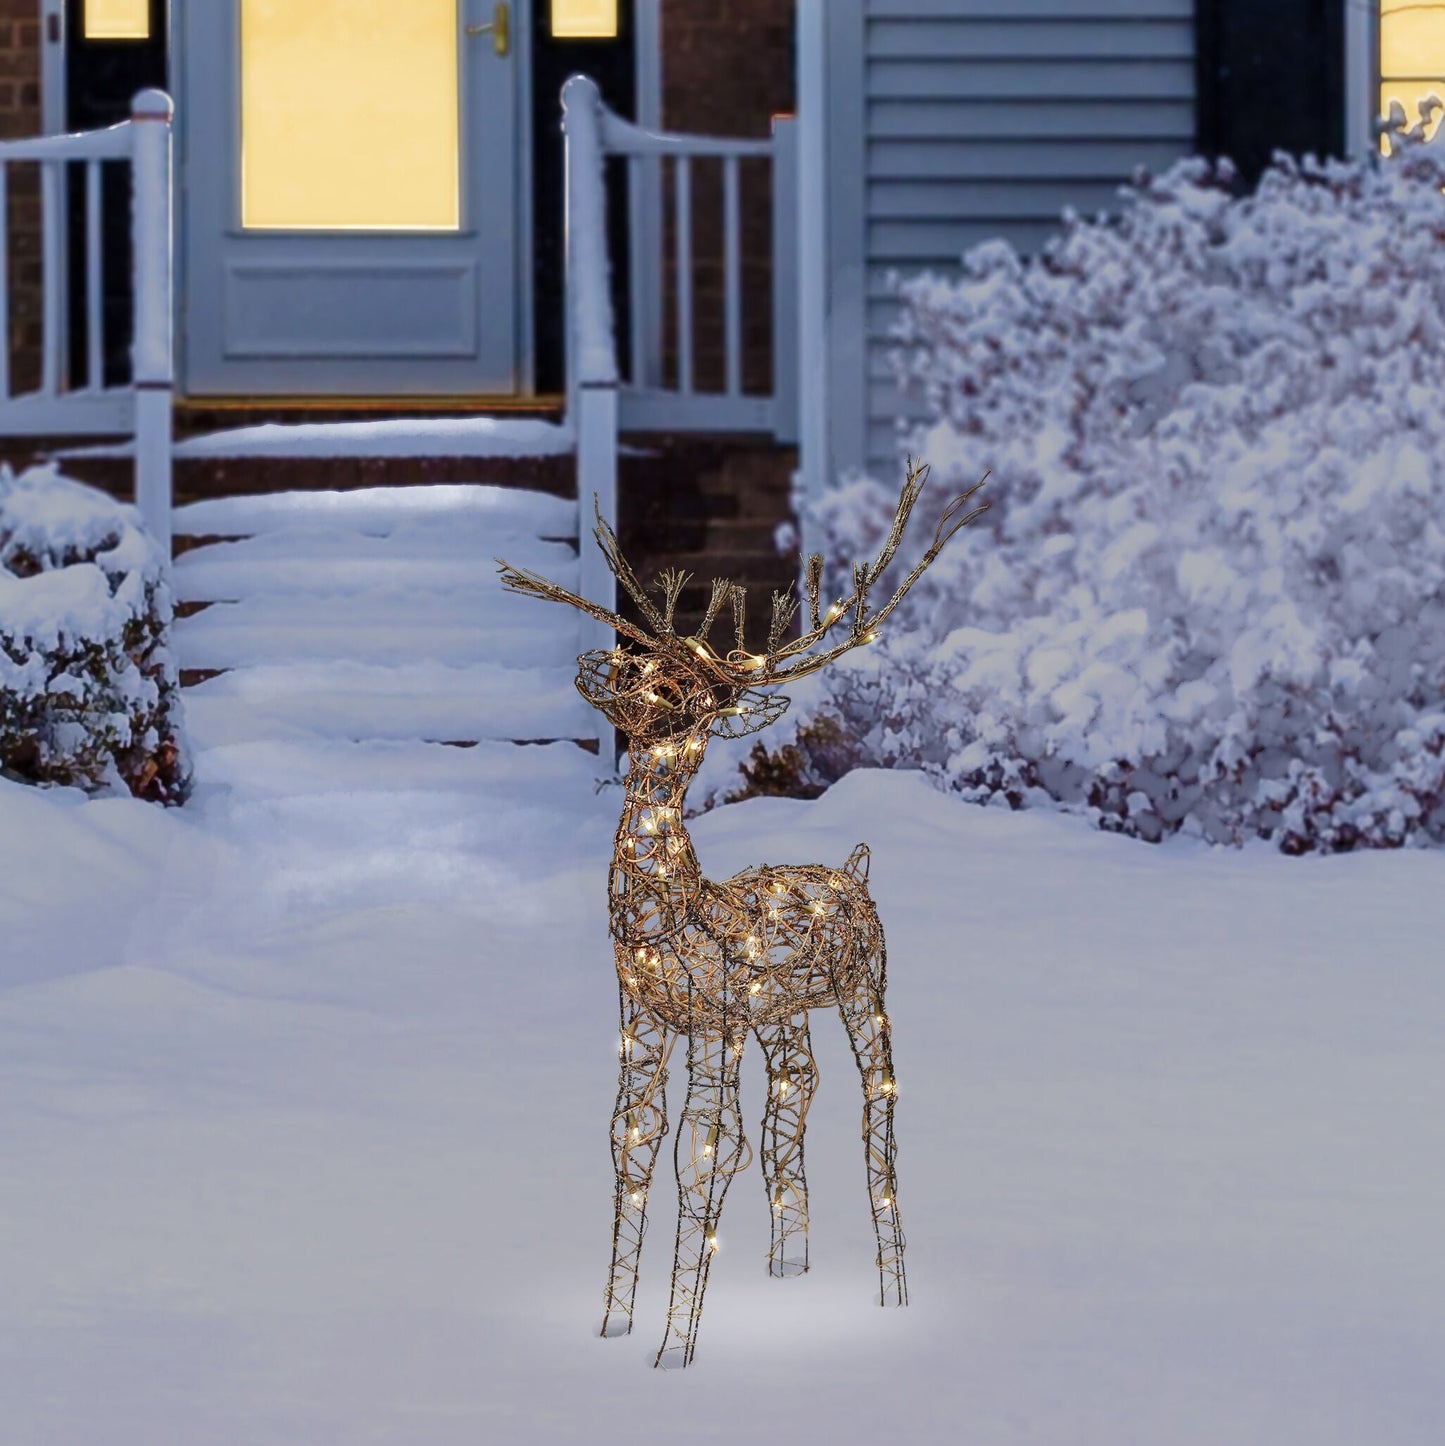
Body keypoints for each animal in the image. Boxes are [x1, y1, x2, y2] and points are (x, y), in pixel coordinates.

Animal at [495, 458, 989, 1368]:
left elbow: (703, 1154)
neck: (669, 921)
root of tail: (854, 869)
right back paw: (787, 1273)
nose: (605, 674)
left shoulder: (716, 1017)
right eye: (639, 663)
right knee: (793, 1098)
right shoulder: (643, 1018)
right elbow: (630, 1142)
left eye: (694, 688)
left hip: (863, 990)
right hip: (782, 1014)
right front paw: (610, 1329)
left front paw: (672, 1354)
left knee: (877, 1118)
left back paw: (891, 1296)